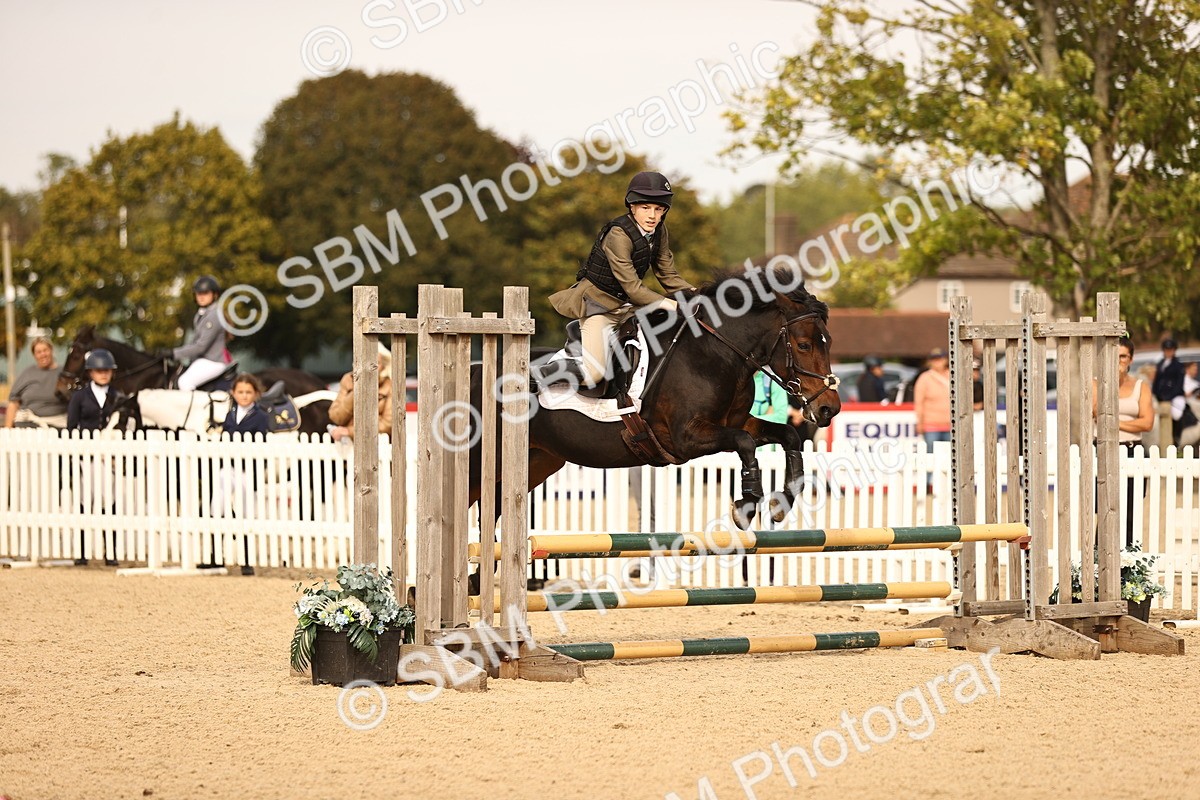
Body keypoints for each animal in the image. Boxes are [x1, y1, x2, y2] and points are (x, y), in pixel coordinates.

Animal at [469, 267, 841, 531]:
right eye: (804, 345)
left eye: (828, 341)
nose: (829, 408)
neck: (715, 353)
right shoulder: (685, 438)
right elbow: (745, 443)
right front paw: (746, 506)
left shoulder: (736, 422)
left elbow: (787, 435)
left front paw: (780, 503)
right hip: (480, 464)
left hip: (539, 460)